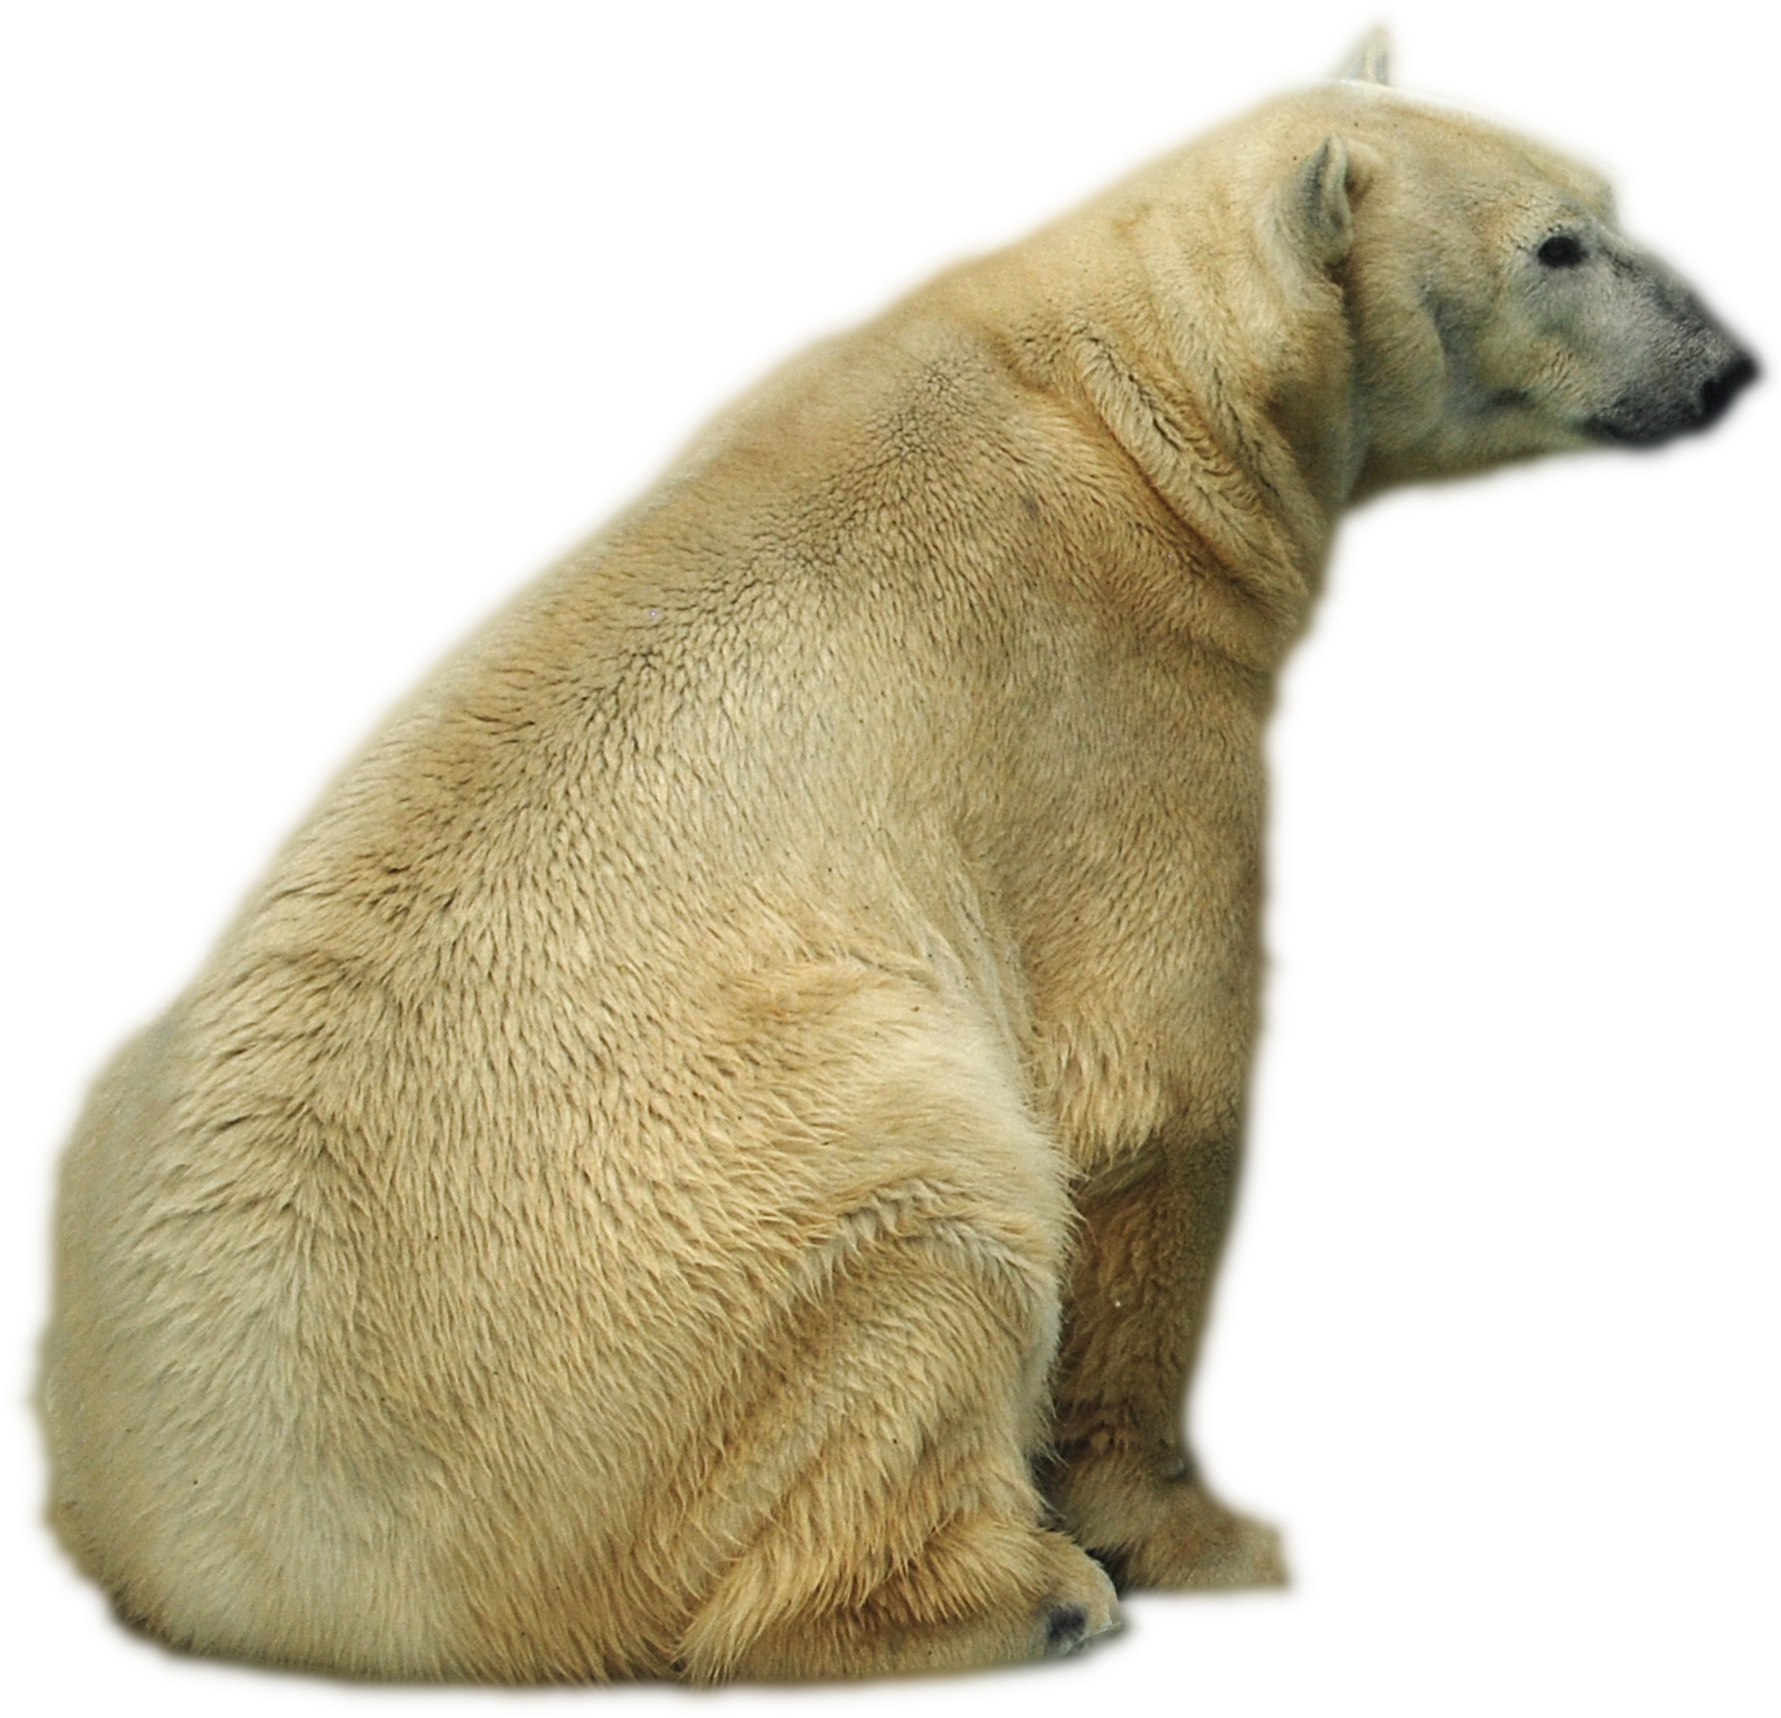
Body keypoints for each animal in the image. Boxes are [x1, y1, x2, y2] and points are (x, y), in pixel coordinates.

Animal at [8, 4, 1773, 1703]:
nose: (1744, 365)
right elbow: (1161, 1096)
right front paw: (1235, 1542)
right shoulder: (1105, 692)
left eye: (1628, 183)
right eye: (1557, 246)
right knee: (921, 1233)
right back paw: (1029, 1603)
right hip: (728, 1200)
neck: (1125, 392)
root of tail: (236, 1583)